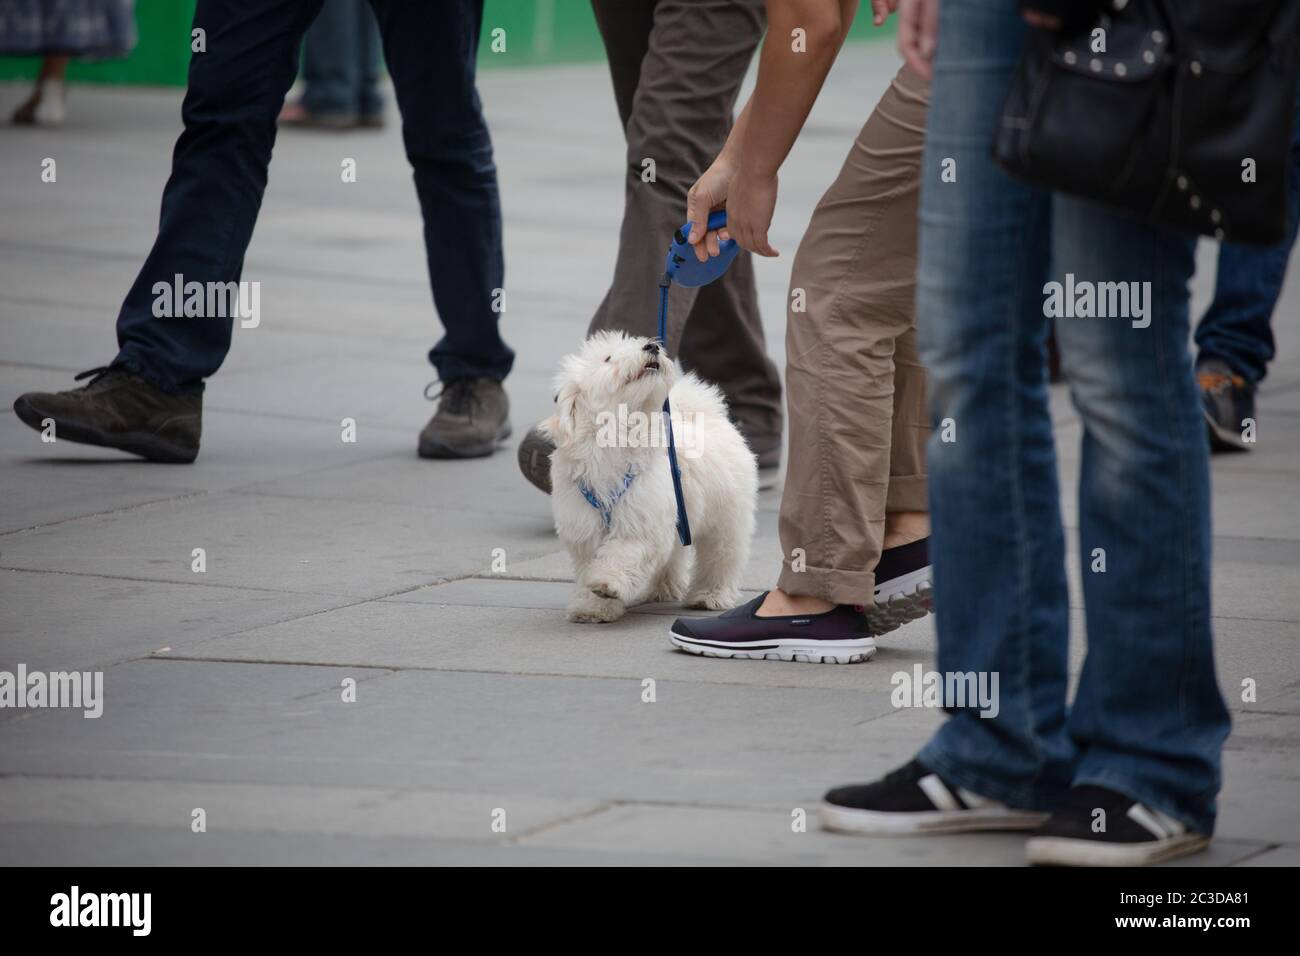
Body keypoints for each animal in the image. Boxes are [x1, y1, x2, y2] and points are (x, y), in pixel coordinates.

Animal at [540, 332, 759, 624]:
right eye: (608, 358)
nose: (652, 346)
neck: (617, 435)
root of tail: (703, 413)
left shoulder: (641, 521)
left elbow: (623, 553)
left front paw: (607, 582)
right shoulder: (585, 529)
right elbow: (588, 566)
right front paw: (593, 607)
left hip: (726, 516)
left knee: (721, 556)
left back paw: (710, 595)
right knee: (674, 556)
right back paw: (663, 588)